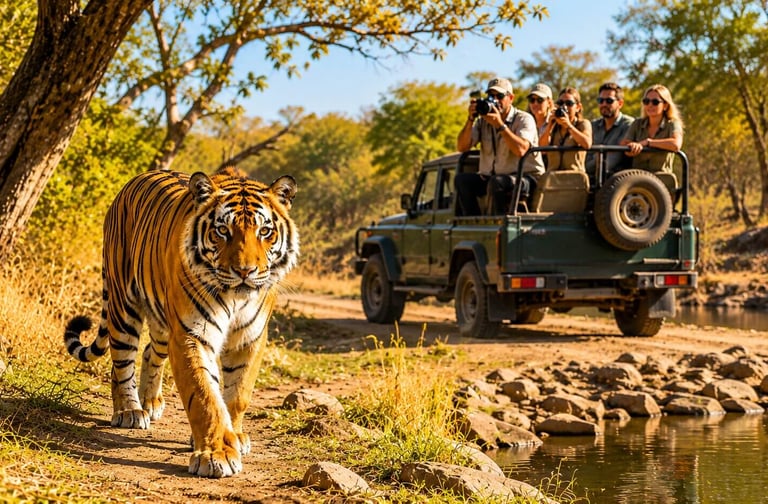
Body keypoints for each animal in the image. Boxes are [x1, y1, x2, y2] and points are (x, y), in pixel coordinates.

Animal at [64, 167, 299, 478]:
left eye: (265, 232)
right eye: (222, 230)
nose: (245, 272)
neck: (236, 297)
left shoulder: (250, 337)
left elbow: (237, 394)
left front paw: (234, 437)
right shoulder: (192, 333)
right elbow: (204, 395)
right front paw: (216, 455)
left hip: (163, 323)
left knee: (149, 352)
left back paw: (150, 402)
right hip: (123, 304)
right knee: (121, 359)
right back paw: (129, 411)